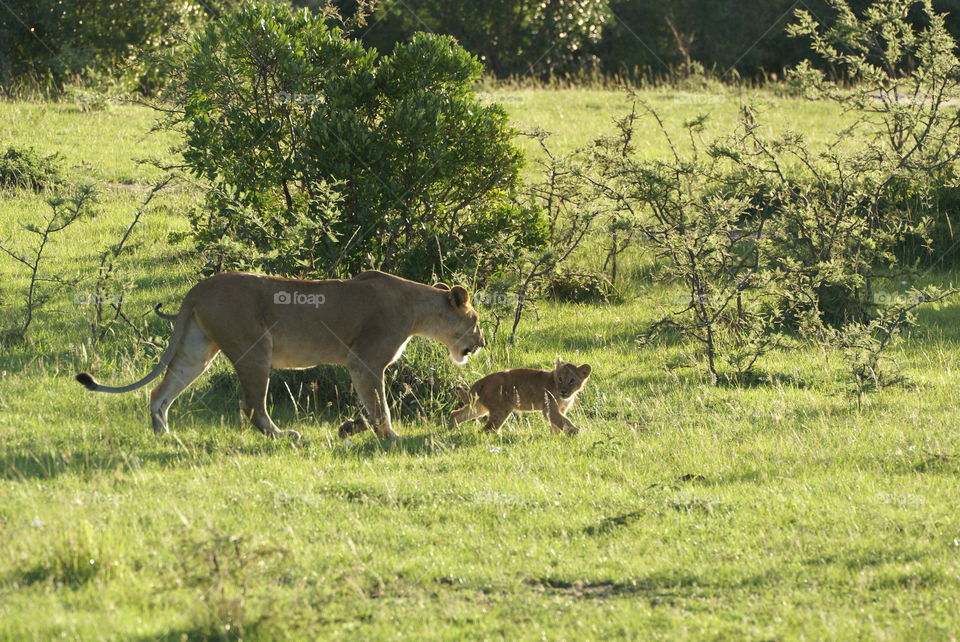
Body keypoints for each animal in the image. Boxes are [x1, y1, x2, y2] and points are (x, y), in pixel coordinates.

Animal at [75, 271, 485, 440]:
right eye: (476, 320)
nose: (481, 344)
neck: (418, 308)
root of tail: (199, 287)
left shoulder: (360, 365)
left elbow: (369, 408)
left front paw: (351, 427)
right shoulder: (365, 360)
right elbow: (379, 406)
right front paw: (392, 437)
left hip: (196, 352)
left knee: (159, 392)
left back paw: (163, 434)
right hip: (256, 349)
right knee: (252, 406)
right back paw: (283, 435)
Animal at [448, 358, 591, 435]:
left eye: (572, 381)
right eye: (560, 379)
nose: (563, 392)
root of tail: (480, 381)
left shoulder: (560, 410)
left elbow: (557, 424)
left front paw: (555, 437)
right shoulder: (549, 410)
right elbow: (564, 421)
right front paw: (577, 432)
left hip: (479, 407)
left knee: (456, 413)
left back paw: (451, 428)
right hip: (501, 409)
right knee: (486, 429)